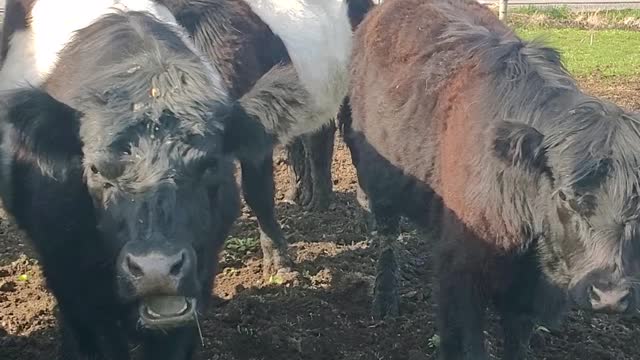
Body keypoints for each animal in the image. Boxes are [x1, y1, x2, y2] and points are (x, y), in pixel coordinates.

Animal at [344, 0, 640, 358]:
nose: (609, 297)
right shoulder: (463, 268)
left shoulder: (530, 289)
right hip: (377, 178)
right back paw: (385, 299)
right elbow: (468, 339)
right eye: (564, 196)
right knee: (387, 235)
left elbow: (517, 336)